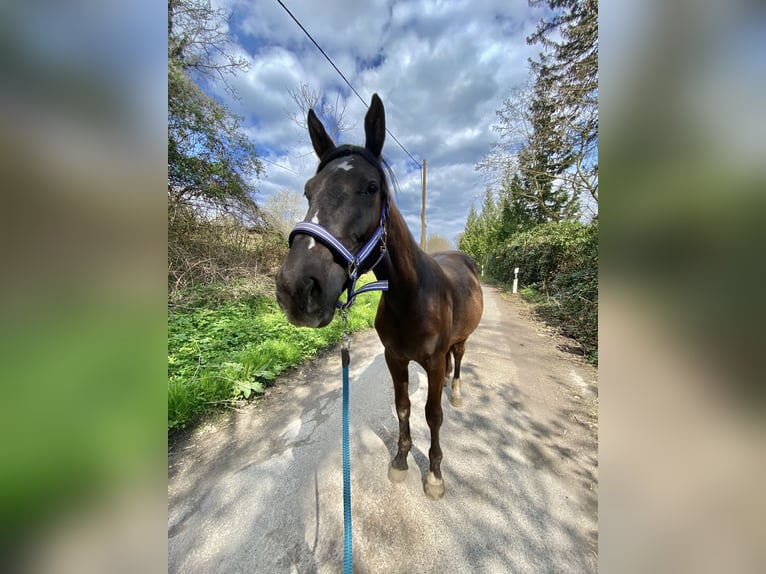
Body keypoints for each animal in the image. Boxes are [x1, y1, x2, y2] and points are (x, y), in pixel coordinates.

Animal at [276, 93, 484, 500]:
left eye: (371, 187)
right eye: (308, 190)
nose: (296, 288)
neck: (411, 298)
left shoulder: (432, 362)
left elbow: (433, 414)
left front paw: (435, 474)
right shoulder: (394, 358)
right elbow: (403, 407)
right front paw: (401, 461)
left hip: (461, 341)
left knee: (458, 360)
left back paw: (457, 391)